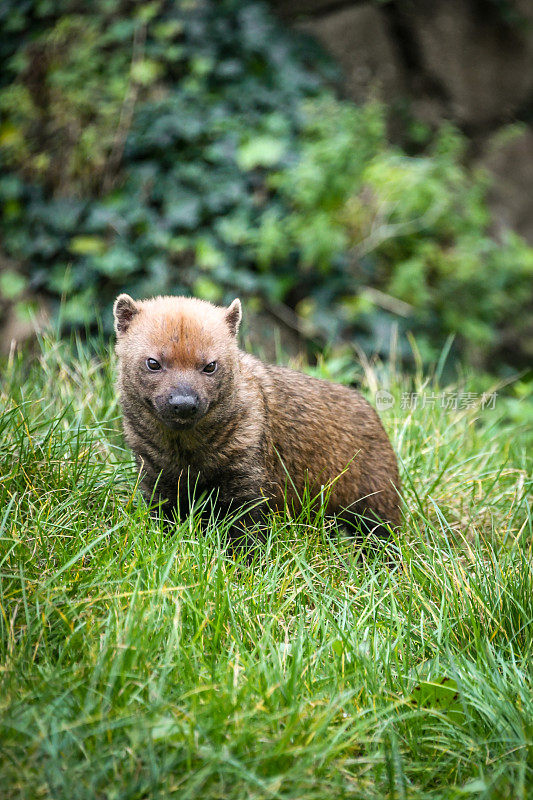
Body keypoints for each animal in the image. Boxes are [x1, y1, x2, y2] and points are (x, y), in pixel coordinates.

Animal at [114, 294, 402, 544]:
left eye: (210, 365)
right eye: (153, 362)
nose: (183, 404)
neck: (187, 457)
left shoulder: (246, 480)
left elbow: (245, 535)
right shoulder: (155, 478)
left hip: (375, 508)